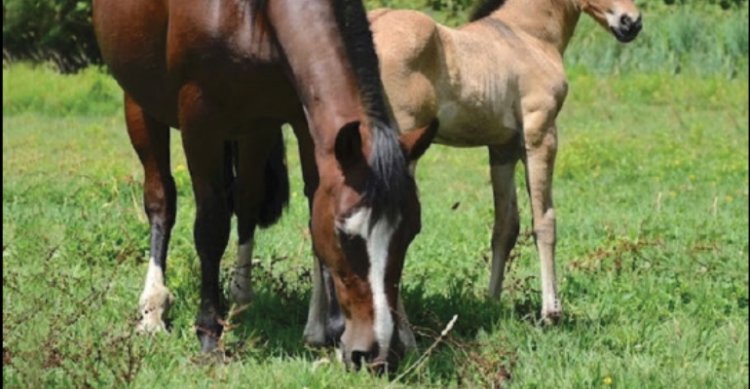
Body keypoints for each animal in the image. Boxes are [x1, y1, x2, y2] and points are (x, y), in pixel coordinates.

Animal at [93, 0, 434, 370]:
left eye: (411, 232)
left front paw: (326, 330)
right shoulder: (200, 121)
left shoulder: (301, 118)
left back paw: (241, 298)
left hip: (254, 129)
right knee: (161, 200)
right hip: (141, 104)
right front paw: (208, 334)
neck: (255, 13)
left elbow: (312, 207)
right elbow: (210, 228)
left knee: (246, 201)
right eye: (345, 234)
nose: (377, 354)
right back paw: (153, 309)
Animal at [368, 0, 644, 322]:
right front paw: (551, 312)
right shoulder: (540, 135)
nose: (632, 22)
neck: (527, 37)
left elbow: (506, 226)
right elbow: (544, 221)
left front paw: (491, 302)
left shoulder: (502, 149)